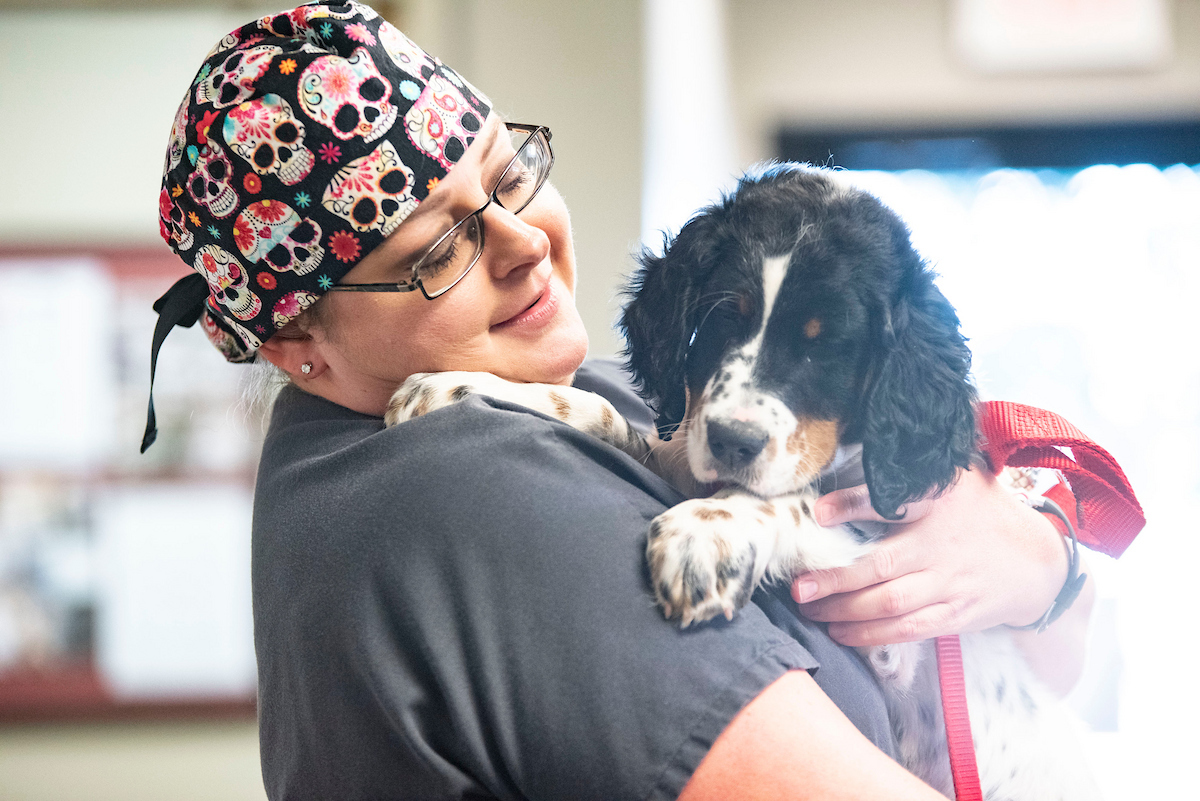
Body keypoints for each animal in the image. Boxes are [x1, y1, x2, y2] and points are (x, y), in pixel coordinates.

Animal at [147, 3, 1089, 796]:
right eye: (720, 317)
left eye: (832, 347)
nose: (735, 441)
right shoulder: (681, 441)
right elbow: (600, 410)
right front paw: (455, 384)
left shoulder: (897, 596)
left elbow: (786, 505)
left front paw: (705, 537)